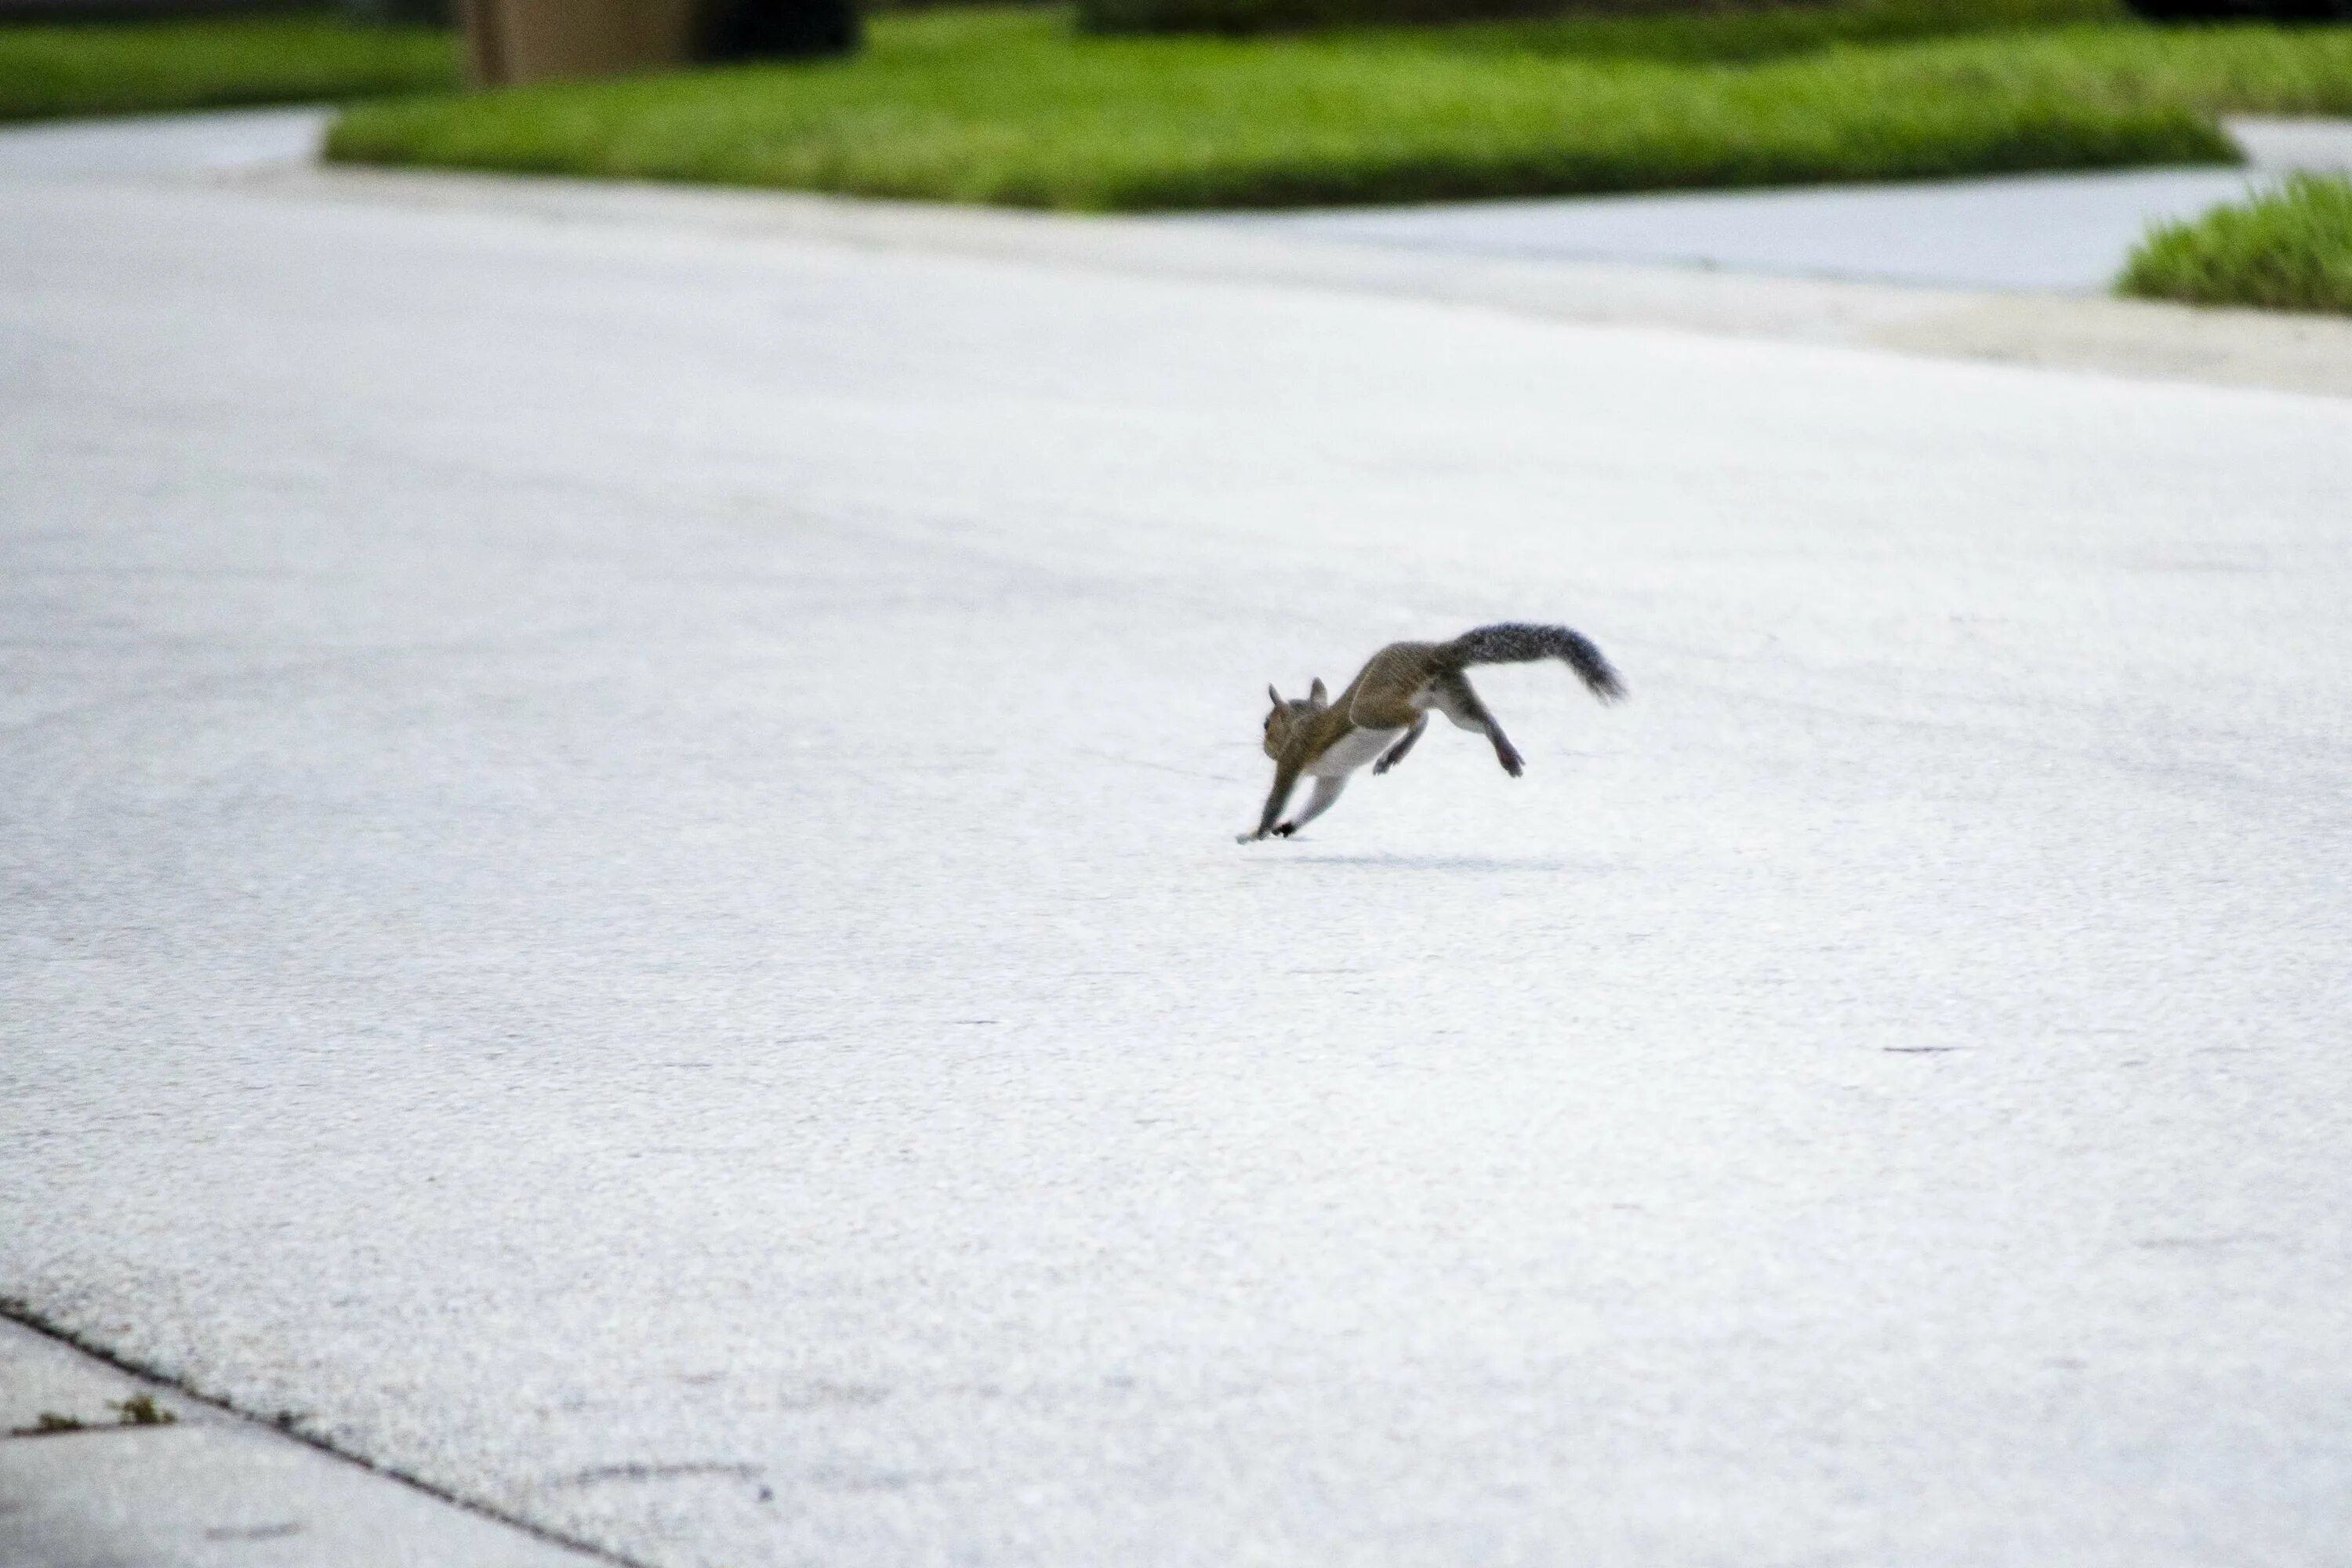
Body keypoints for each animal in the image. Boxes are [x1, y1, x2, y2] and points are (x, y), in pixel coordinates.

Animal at [1242, 620, 1628, 846]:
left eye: (1266, 725)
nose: (1265, 748)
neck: (1304, 722)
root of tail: (1432, 653)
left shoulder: (1294, 758)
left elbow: (1277, 799)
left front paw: (1255, 834)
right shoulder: (1333, 777)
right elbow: (1320, 803)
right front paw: (1288, 828)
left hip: (1372, 705)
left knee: (1419, 719)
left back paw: (1394, 753)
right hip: (1453, 697)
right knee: (1484, 721)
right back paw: (1507, 754)